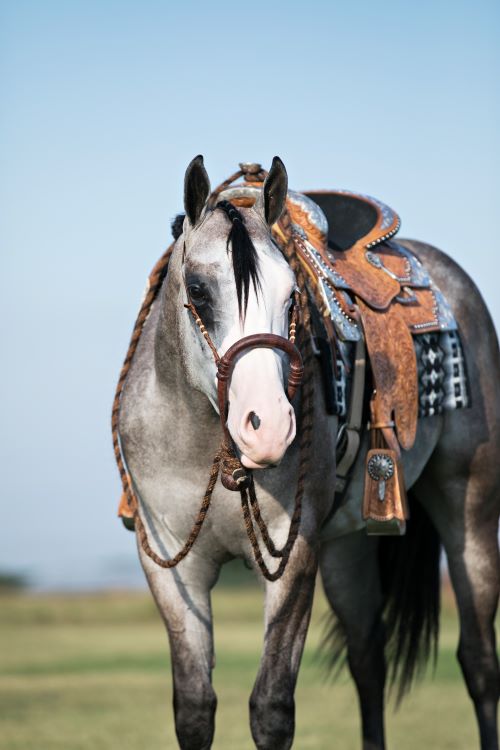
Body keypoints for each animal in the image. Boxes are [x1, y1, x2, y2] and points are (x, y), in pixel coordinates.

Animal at [117, 155, 500, 750]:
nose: (267, 427)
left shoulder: (292, 555)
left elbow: (272, 708)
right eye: (198, 290)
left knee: (479, 662)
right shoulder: (170, 564)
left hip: (470, 504)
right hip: (346, 547)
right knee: (368, 660)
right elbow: (195, 709)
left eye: (291, 297)